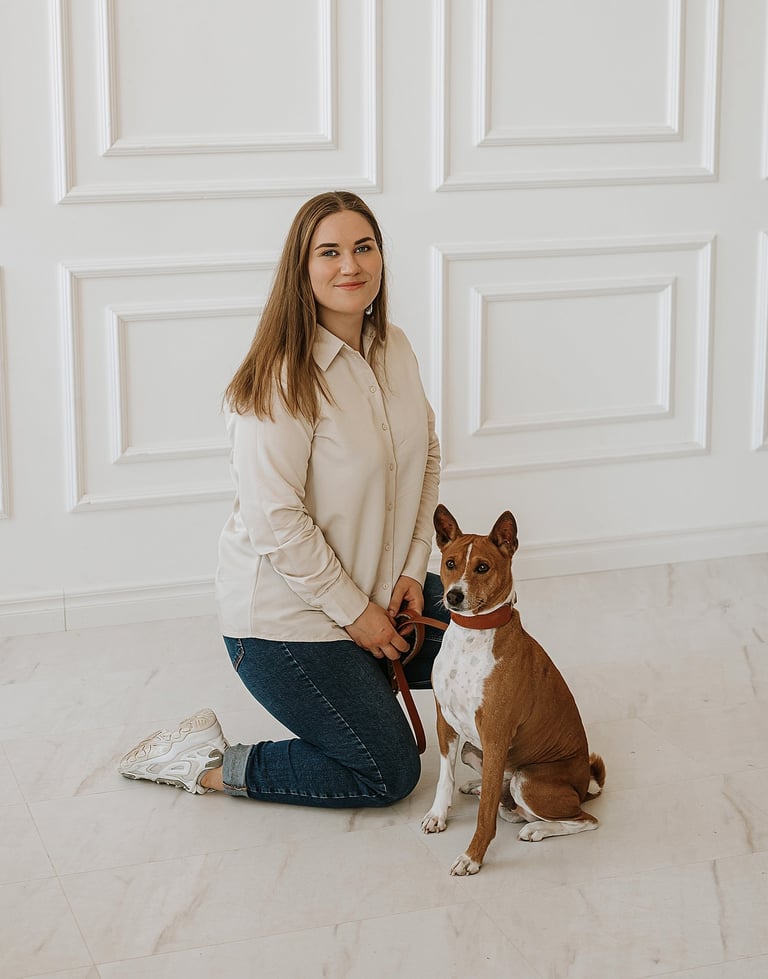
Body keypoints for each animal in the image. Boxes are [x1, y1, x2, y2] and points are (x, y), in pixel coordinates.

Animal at [421, 504, 606, 875]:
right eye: (450, 563)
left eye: (482, 567)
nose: (454, 596)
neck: (472, 636)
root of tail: (584, 786)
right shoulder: (446, 724)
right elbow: (444, 779)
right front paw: (438, 815)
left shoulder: (495, 734)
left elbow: (485, 817)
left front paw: (472, 857)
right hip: (476, 752)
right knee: (504, 800)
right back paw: (478, 787)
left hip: (528, 780)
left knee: (584, 819)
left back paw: (537, 828)